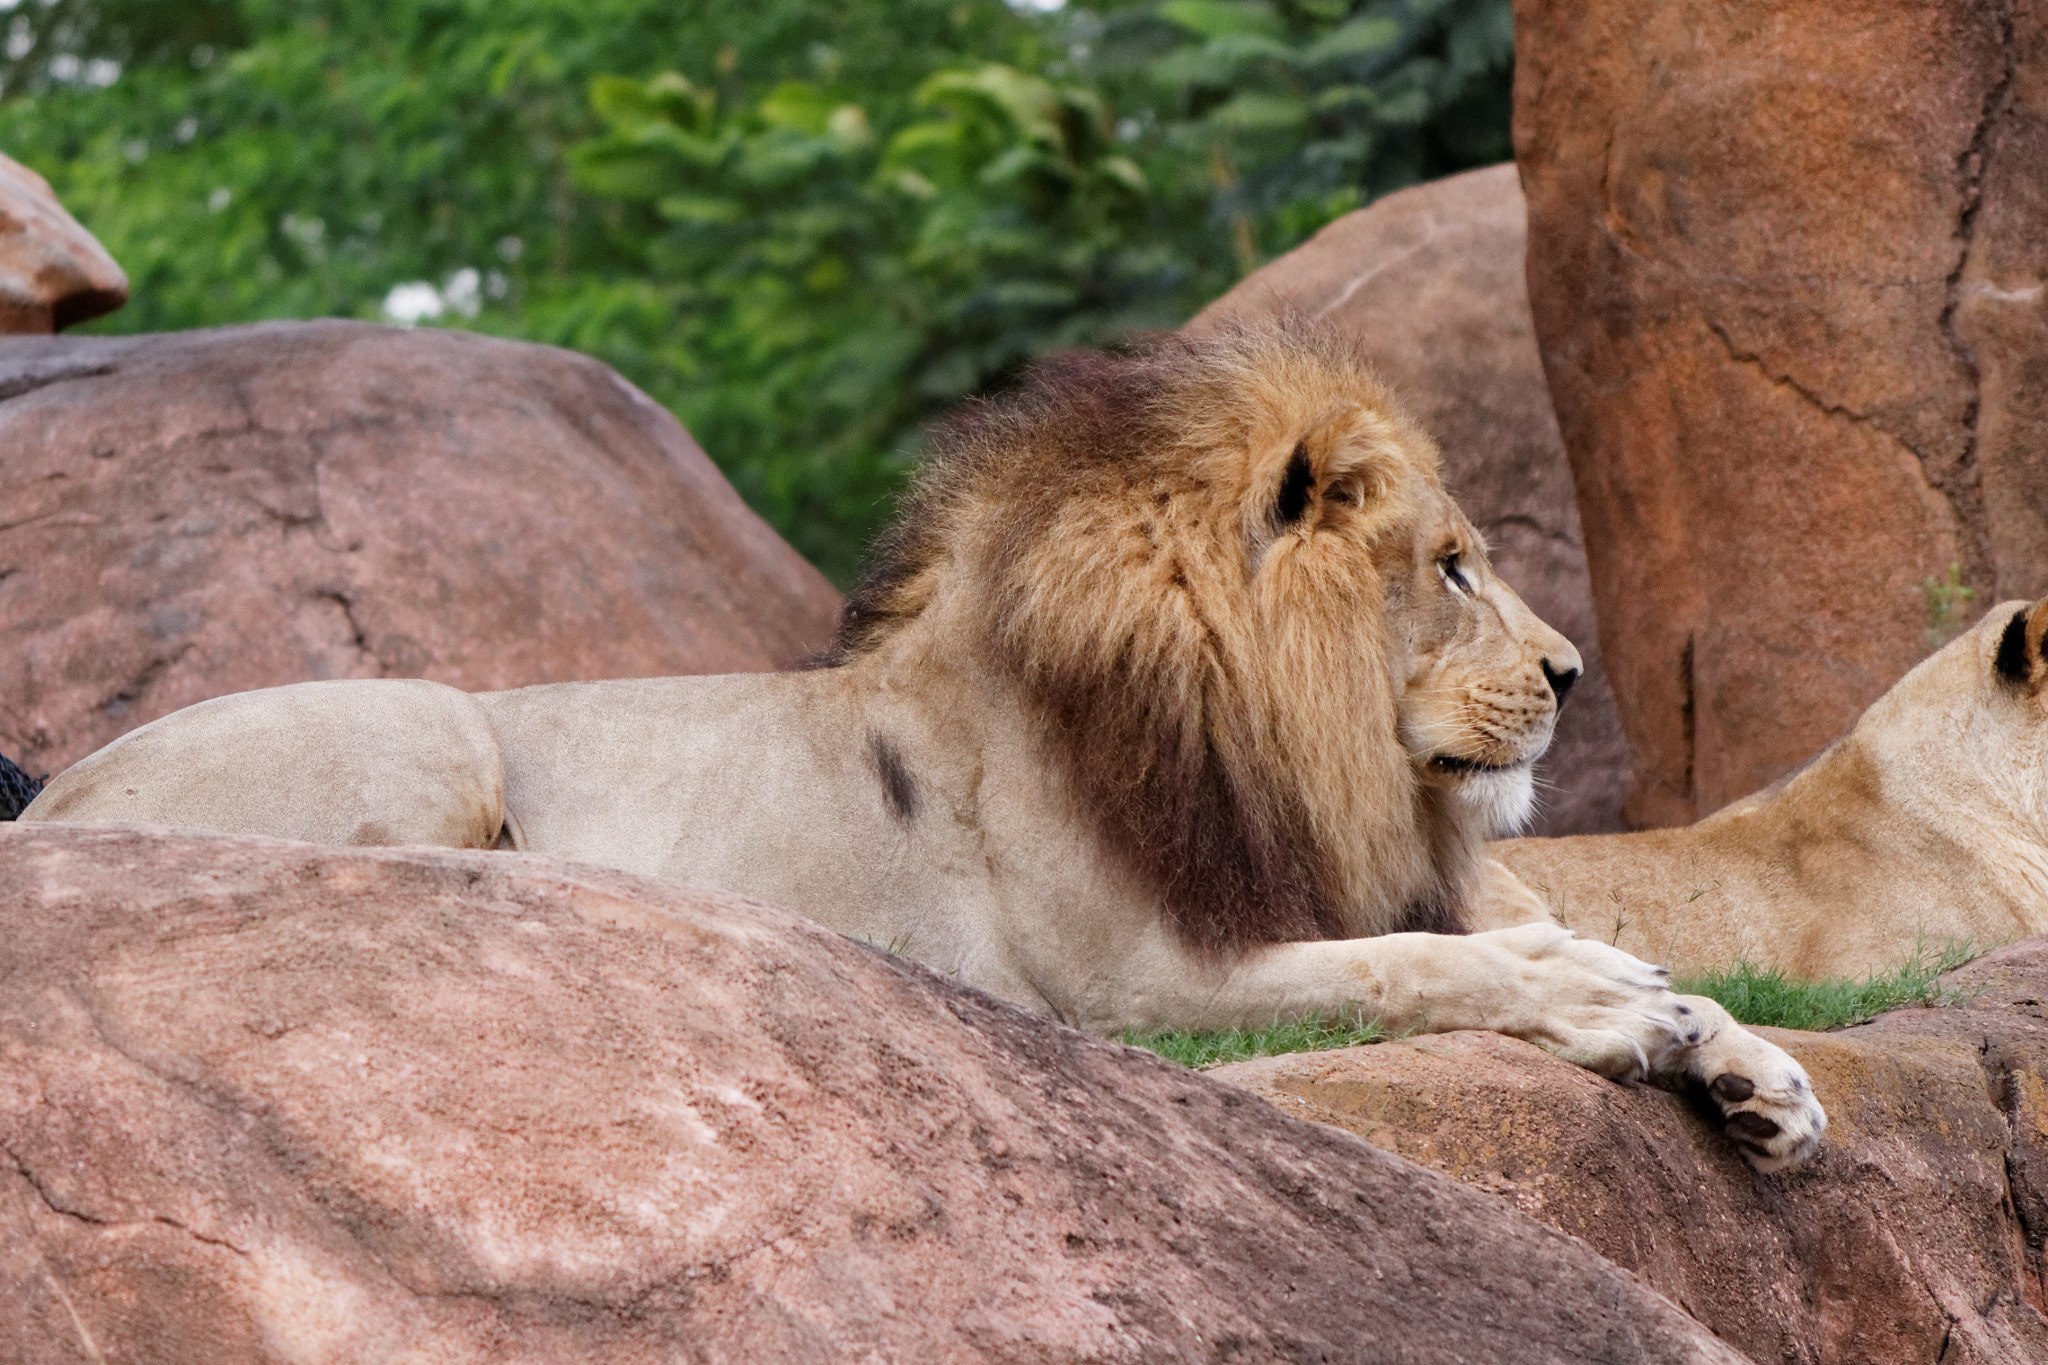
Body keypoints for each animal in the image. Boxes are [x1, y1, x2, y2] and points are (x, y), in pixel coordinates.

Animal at [19, 325, 1824, 1169]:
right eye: (1449, 565)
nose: (1573, 673)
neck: (1281, 744)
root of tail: (54, 795)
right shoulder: (1137, 987)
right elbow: (1416, 965)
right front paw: (1612, 1008)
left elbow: (1542, 944)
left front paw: (1749, 1065)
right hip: (429, 729)